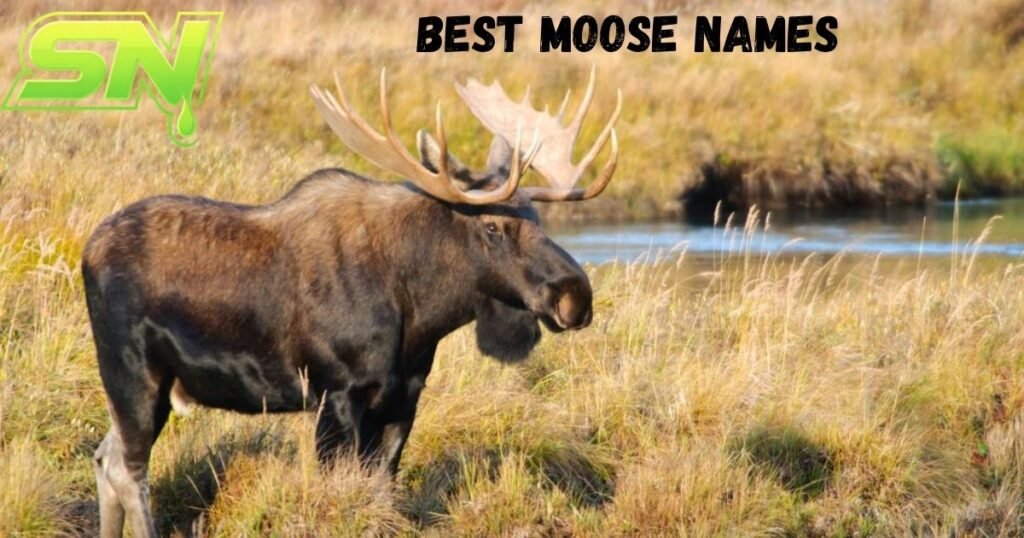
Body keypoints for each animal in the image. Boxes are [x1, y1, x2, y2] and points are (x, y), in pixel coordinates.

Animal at [82, 66, 621, 537]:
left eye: (539, 218)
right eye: (492, 226)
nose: (575, 295)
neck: (419, 314)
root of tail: (88, 250)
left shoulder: (404, 397)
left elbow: (383, 491)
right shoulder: (337, 393)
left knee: (106, 457)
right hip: (133, 373)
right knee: (129, 469)